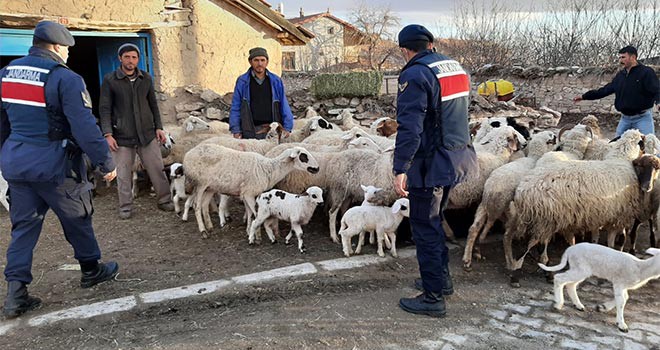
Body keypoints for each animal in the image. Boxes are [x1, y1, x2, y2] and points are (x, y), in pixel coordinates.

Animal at [183, 143, 320, 238]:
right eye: (303, 156)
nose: (317, 168)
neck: (269, 169)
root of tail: (188, 154)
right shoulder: (249, 193)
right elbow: (255, 213)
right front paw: (257, 235)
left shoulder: (247, 193)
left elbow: (249, 213)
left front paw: (249, 231)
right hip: (199, 183)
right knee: (196, 206)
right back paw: (203, 231)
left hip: (210, 187)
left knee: (204, 205)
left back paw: (210, 226)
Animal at [462, 130, 560, 270]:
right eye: (552, 138)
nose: (560, 146)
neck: (533, 157)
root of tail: (492, 189)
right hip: (512, 212)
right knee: (506, 235)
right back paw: (511, 262)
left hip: (483, 206)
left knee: (474, 228)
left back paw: (469, 257)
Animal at [506, 130, 644, 286]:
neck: (621, 160)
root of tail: (523, 191)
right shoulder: (621, 215)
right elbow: (618, 240)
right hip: (545, 219)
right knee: (532, 246)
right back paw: (519, 274)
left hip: (538, 219)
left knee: (535, 244)